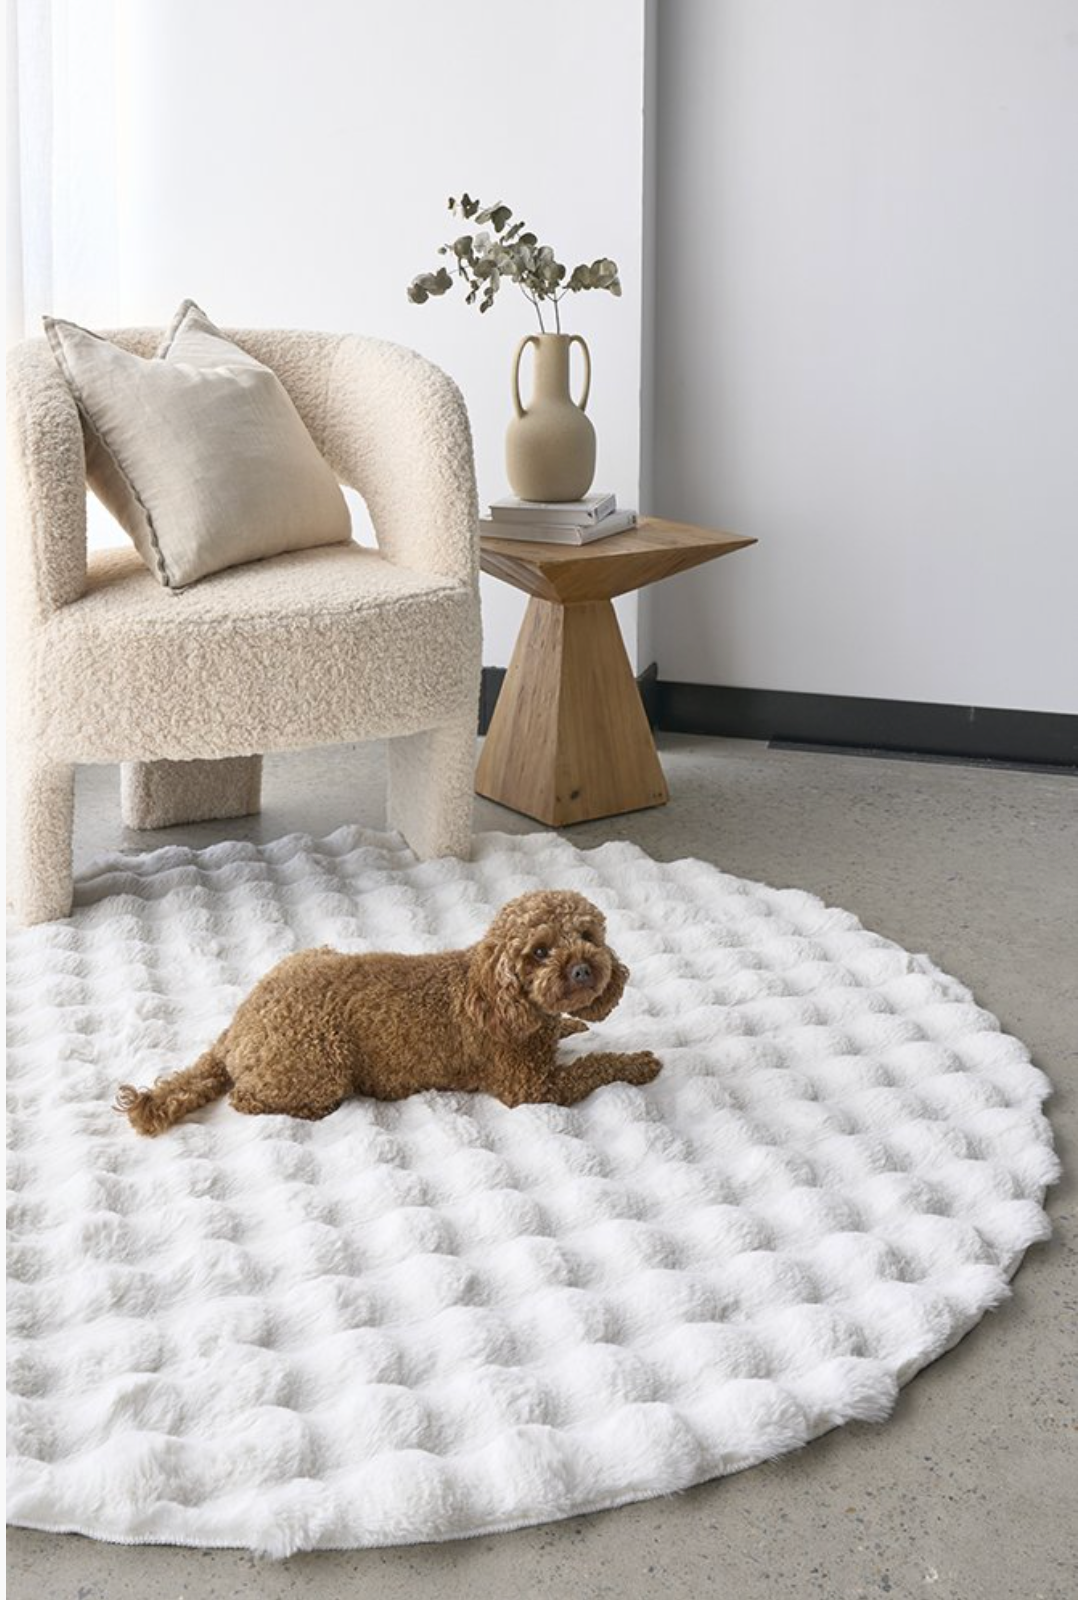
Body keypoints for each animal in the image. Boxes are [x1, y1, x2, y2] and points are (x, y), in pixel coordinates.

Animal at [116, 889, 661, 1135]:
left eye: (587, 936)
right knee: (246, 1099)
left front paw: (570, 1023)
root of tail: (235, 1030)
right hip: (319, 1066)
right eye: (541, 952)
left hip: (314, 953)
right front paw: (638, 1062)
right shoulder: (532, 1088)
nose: (584, 970)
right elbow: (596, 1066)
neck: (498, 995)